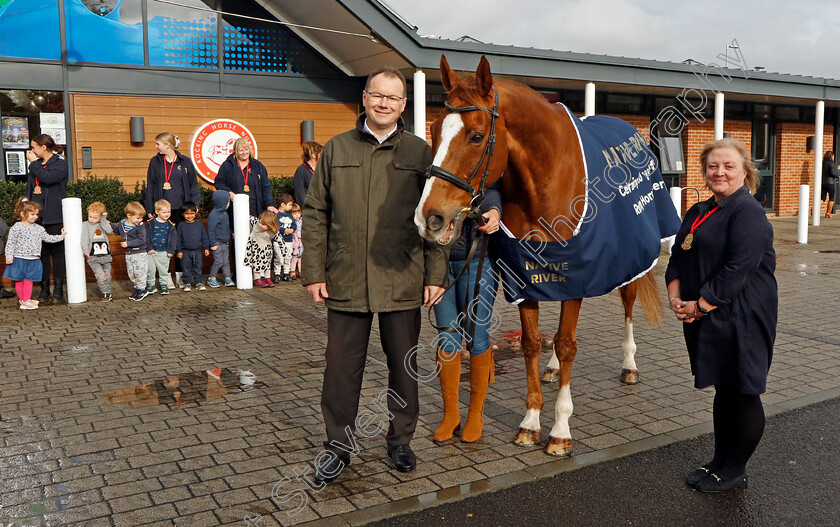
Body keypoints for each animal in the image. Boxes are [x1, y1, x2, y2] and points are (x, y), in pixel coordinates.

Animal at [416, 55, 668, 456]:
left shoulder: (576, 271)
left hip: (630, 261)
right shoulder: (527, 276)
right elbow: (532, 343)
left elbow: (566, 344)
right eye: (435, 129)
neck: (546, 180)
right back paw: (552, 370)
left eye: (476, 136)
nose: (430, 217)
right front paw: (531, 422)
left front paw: (560, 430)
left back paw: (629, 365)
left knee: (628, 303)